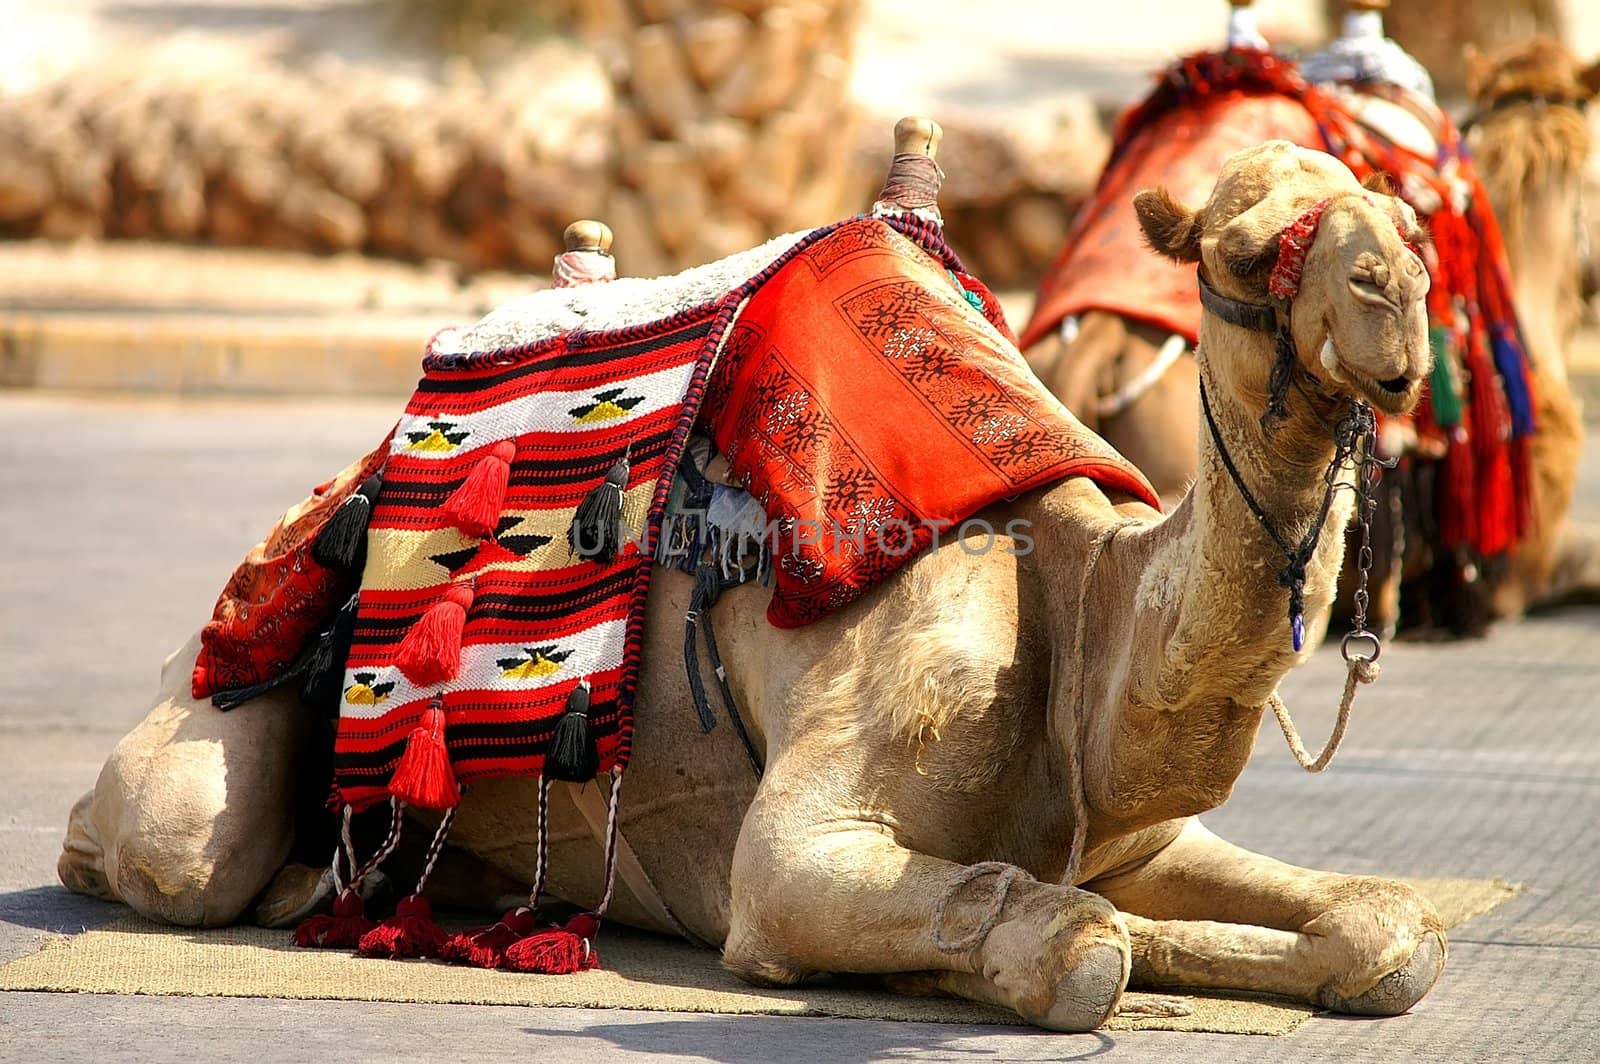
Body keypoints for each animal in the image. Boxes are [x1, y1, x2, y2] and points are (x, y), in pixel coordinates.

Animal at [59, 139, 1452, 1030]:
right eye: (1246, 245)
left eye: (1401, 220)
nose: (1395, 303)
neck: (1072, 606)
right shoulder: (803, 838)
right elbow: (1062, 937)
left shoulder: (1141, 830)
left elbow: (1386, 926)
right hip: (223, 705)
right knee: (174, 840)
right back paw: (283, 877)